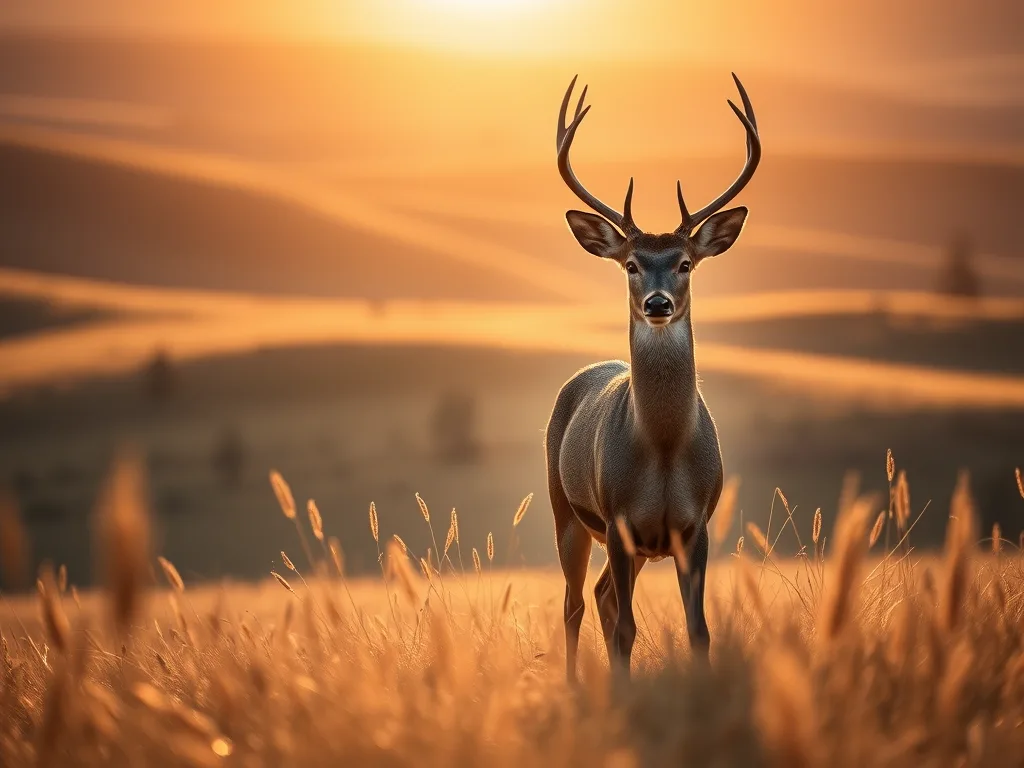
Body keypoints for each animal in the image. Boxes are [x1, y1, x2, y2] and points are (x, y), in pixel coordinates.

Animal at [545, 73, 760, 681]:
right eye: (631, 263)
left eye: (685, 262)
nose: (658, 303)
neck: (662, 449)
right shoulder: (618, 520)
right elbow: (624, 630)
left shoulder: (696, 526)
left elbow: (699, 630)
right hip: (566, 512)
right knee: (574, 602)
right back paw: (573, 683)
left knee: (598, 596)